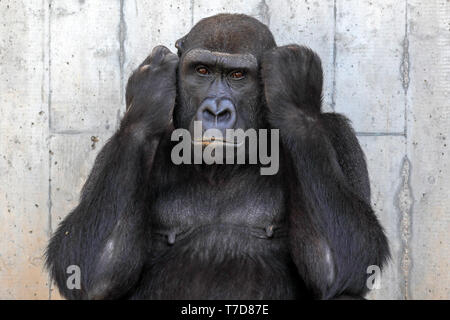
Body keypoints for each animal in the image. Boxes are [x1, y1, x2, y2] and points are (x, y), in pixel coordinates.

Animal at [46, 13, 390, 300]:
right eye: (202, 70)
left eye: (238, 75)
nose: (215, 110)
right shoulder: (115, 148)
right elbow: (89, 269)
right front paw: (148, 95)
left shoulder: (336, 133)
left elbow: (346, 262)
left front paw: (295, 90)